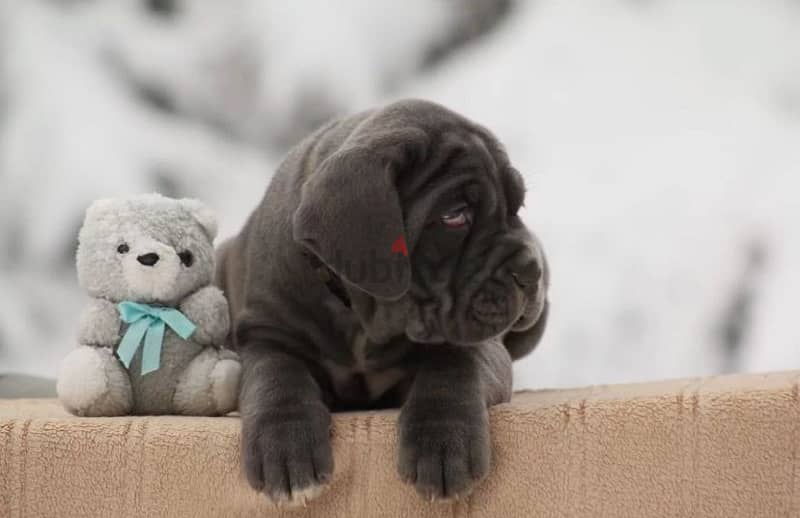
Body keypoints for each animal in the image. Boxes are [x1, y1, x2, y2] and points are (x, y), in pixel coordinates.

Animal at [214, 98, 552, 508]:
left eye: (519, 206)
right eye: (454, 216)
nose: (532, 270)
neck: (362, 319)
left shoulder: (479, 343)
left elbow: (454, 367)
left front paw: (442, 444)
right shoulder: (267, 333)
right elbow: (277, 379)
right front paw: (285, 450)